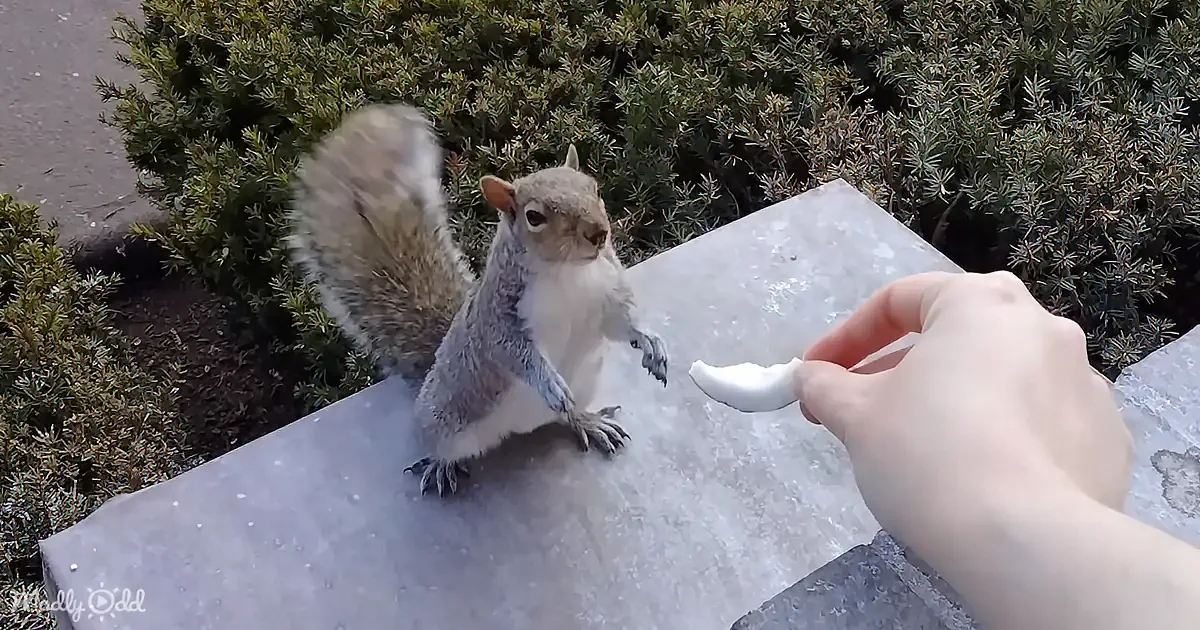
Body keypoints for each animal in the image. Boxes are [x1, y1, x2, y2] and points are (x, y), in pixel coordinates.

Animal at [287, 103, 669, 497]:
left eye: (594, 189)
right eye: (534, 217)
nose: (598, 233)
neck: (570, 272)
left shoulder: (608, 291)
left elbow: (622, 322)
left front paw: (650, 341)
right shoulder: (497, 318)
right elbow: (513, 352)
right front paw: (547, 381)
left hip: (585, 381)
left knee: (567, 416)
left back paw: (587, 421)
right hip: (445, 420)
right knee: (442, 444)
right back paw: (440, 465)